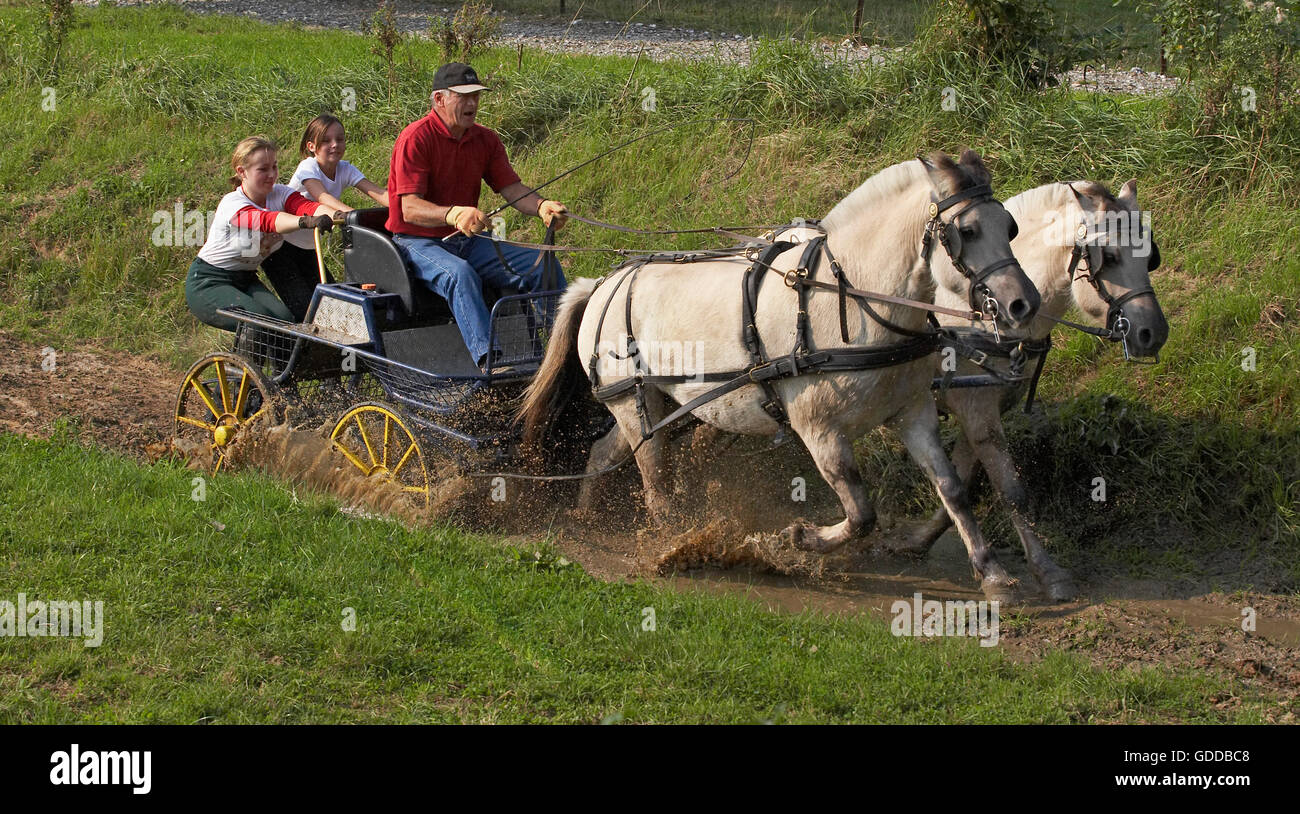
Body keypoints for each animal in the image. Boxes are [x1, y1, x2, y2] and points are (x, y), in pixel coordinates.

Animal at [522, 148, 1040, 598]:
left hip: (650, 406)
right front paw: (793, 540)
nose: (1023, 303)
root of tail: (600, 284)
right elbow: (861, 515)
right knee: (654, 483)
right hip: (633, 402)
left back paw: (587, 517)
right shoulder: (819, 429)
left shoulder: (912, 413)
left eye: (1010, 226)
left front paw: (993, 573)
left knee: (604, 453)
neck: (852, 298)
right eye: (967, 230)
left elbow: (952, 489)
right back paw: (672, 543)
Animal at [894, 179, 1170, 595]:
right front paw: (1044, 570)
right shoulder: (978, 412)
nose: (1152, 332)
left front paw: (917, 541)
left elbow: (959, 484)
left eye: (1149, 256)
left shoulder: (982, 414)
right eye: (1110, 257)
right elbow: (1011, 491)